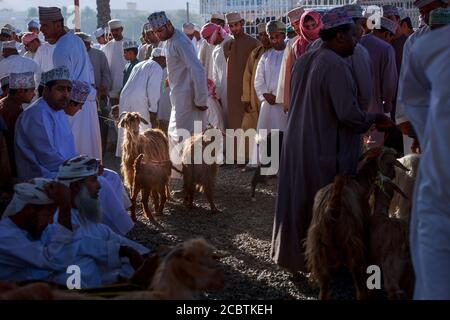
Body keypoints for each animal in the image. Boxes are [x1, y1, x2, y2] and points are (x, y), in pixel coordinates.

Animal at [306, 147, 408, 300]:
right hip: (353, 245)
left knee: (324, 287)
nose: (394, 174)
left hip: (319, 252)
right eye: (391, 164)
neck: (361, 181)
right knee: (358, 280)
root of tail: (333, 210)